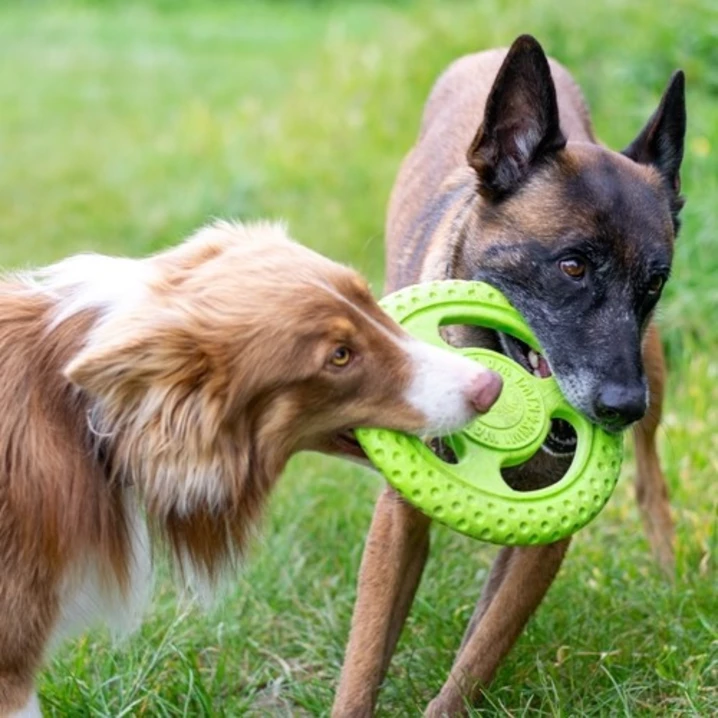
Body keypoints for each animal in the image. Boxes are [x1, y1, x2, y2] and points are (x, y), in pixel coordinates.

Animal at [334, 35, 688, 718]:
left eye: (654, 284)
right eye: (573, 266)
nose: (622, 407)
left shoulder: (547, 539)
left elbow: (482, 650)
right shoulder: (398, 518)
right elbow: (365, 658)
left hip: (654, 368)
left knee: (651, 479)